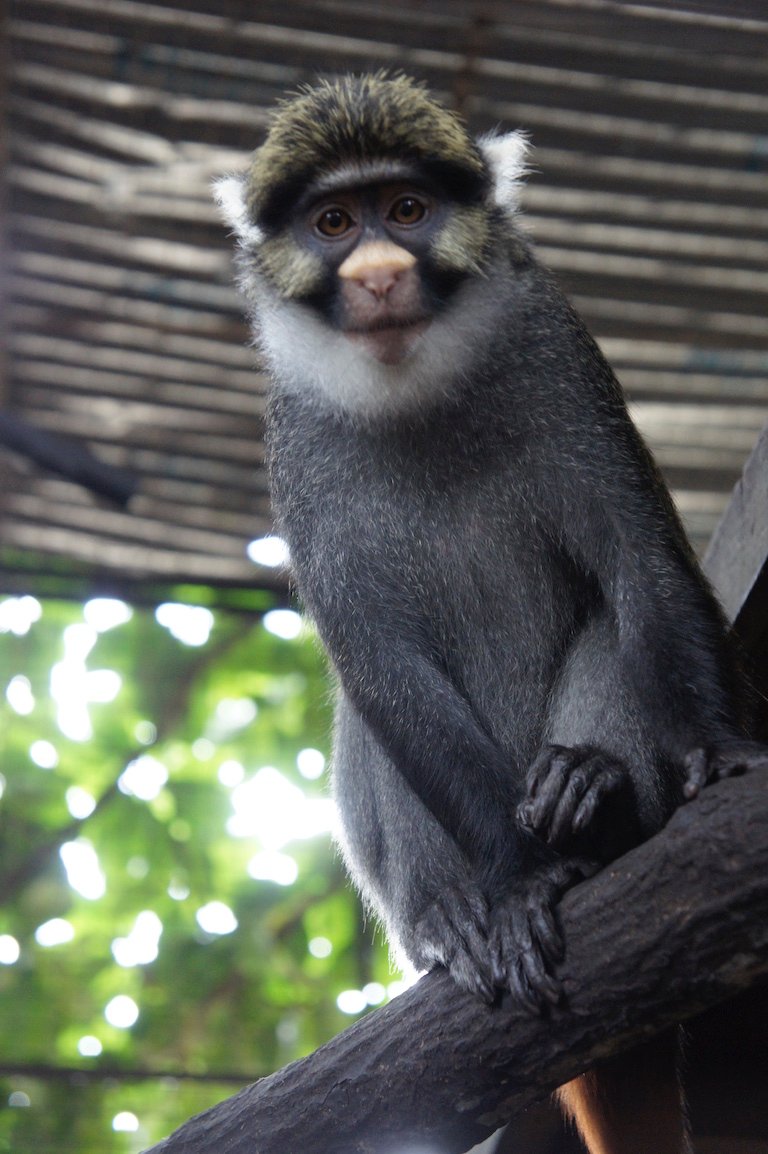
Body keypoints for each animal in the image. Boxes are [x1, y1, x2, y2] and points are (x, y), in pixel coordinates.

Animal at [215, 74, 765, 1154]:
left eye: (407, 210)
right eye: (333, 222)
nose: (380, 269)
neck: (414, 388)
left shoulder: (557, 351)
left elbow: (639, 564)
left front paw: (718, 756)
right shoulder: (297, 450)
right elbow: (379, 664)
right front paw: (513, 884)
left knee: (611, 633)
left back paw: (600, 805)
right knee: (367, 721)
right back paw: (455, 917)